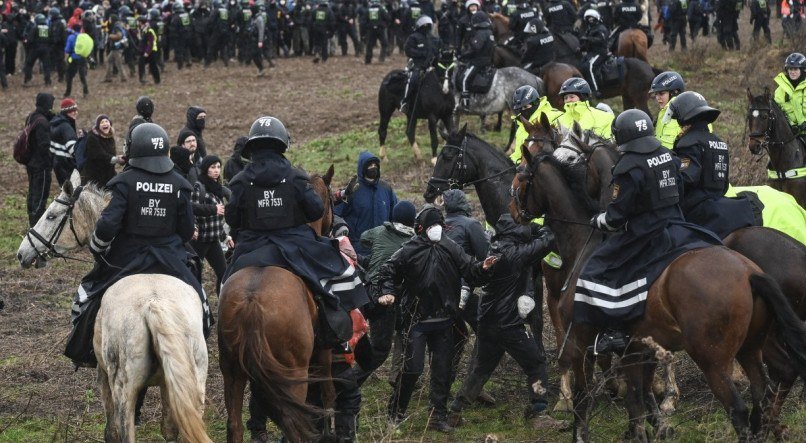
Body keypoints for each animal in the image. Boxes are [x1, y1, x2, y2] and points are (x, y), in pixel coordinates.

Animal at [17, 171, 211, 443]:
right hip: (195, 384)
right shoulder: (169, 386)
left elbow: (110, 431)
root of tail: (155, 305)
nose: (22, 253)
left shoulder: (103, 374)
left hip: (123, 387)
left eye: (51, 215)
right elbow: (168, 430)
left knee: (124, 430)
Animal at [218, 166, 338, 443]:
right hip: (295, 374)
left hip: (232, 371)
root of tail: (250, 303)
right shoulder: (324, 349)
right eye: (331, 200)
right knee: (293, 424)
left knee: (234, 425)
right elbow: (328, 393)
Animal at [516, 138, 806, 440]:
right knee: (769, 385)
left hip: (713, 358)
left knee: (745, 401)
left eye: (521, 177)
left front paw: (583, 430)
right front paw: (649, 426)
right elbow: (638, 397)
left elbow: (589, 394)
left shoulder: (581, 339)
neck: (588, 243)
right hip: (752, 346)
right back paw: (772, 427)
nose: (515, 212)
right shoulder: (637, 349)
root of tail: (750, 274)